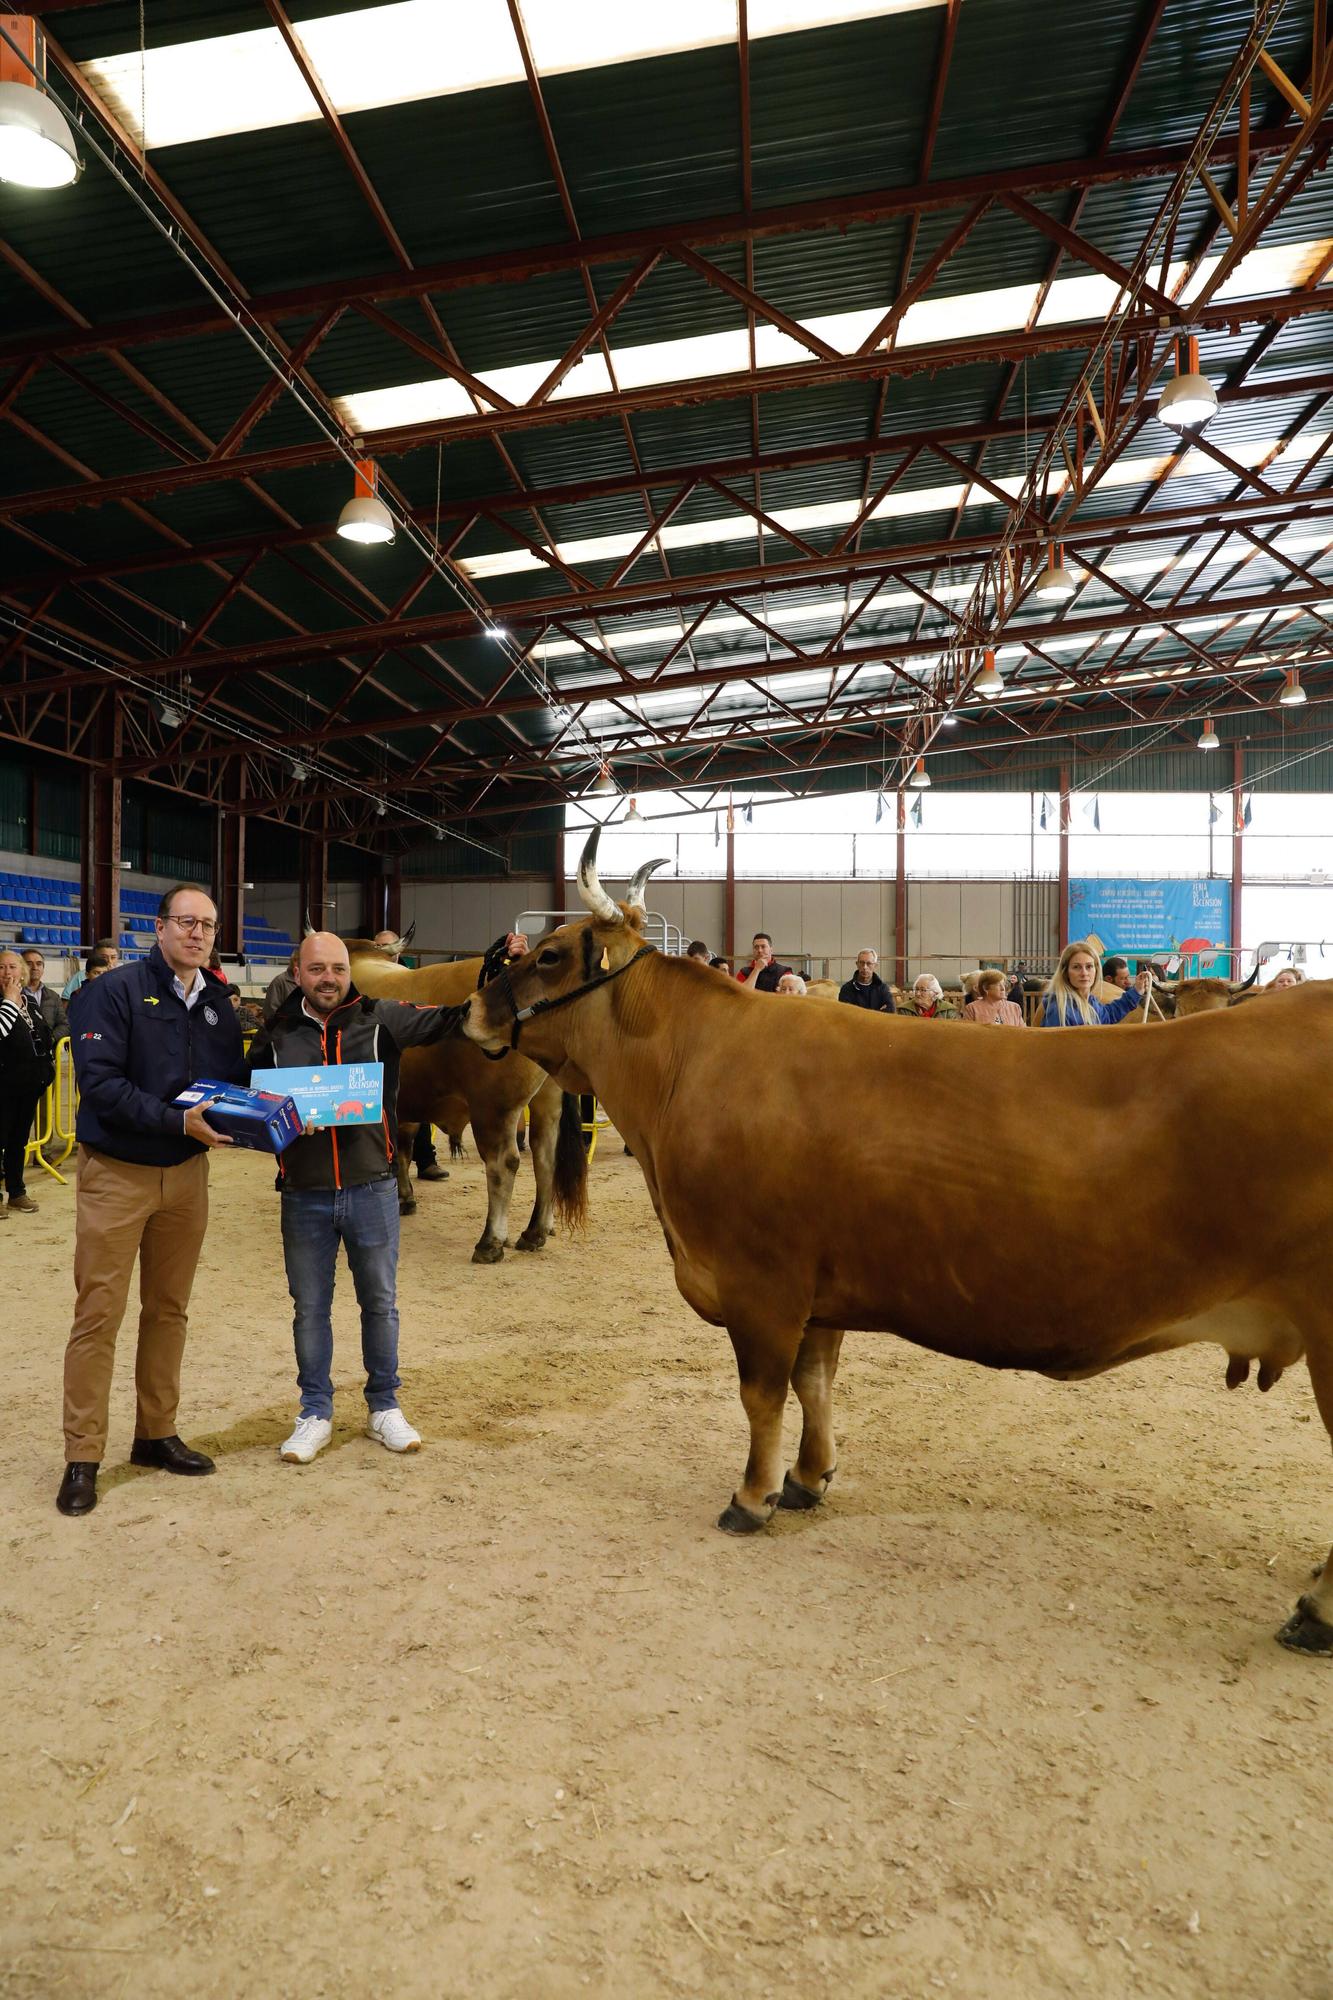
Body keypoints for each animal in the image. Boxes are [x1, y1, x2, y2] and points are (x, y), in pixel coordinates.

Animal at [348, 940, 580, 1264]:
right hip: (547, 1102)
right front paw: (404, 1197)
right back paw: (536, 1231)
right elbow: (404, 1148)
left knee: (503, 1163)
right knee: (545, 1156)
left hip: (493, 1108)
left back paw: (491, 1241)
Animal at [462, 828, 1328, 1656]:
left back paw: (1313, 1611)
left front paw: (752, 1496)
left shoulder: (759, 1282)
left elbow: (760, 1394)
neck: (687, 1069)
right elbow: (815, 1383)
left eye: (546, 953)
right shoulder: (817, 1289)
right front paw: (808, 1478)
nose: (469, 1009)